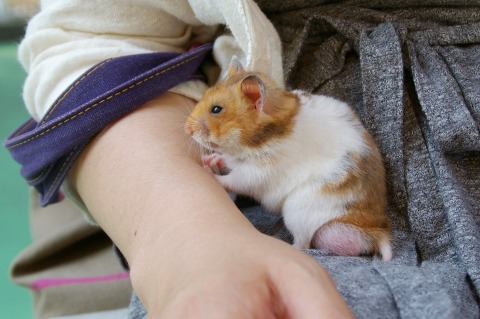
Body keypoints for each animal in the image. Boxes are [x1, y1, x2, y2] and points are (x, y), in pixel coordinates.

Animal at [186, 58, 392, 262]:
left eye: (216, 109)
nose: (187, 130)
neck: (258, 140)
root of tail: (374, 230)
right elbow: (225, 160)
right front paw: (210, 160)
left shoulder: (256, 175)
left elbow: (233, 180)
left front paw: (208, 171)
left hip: (297, 211)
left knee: (303, 243)